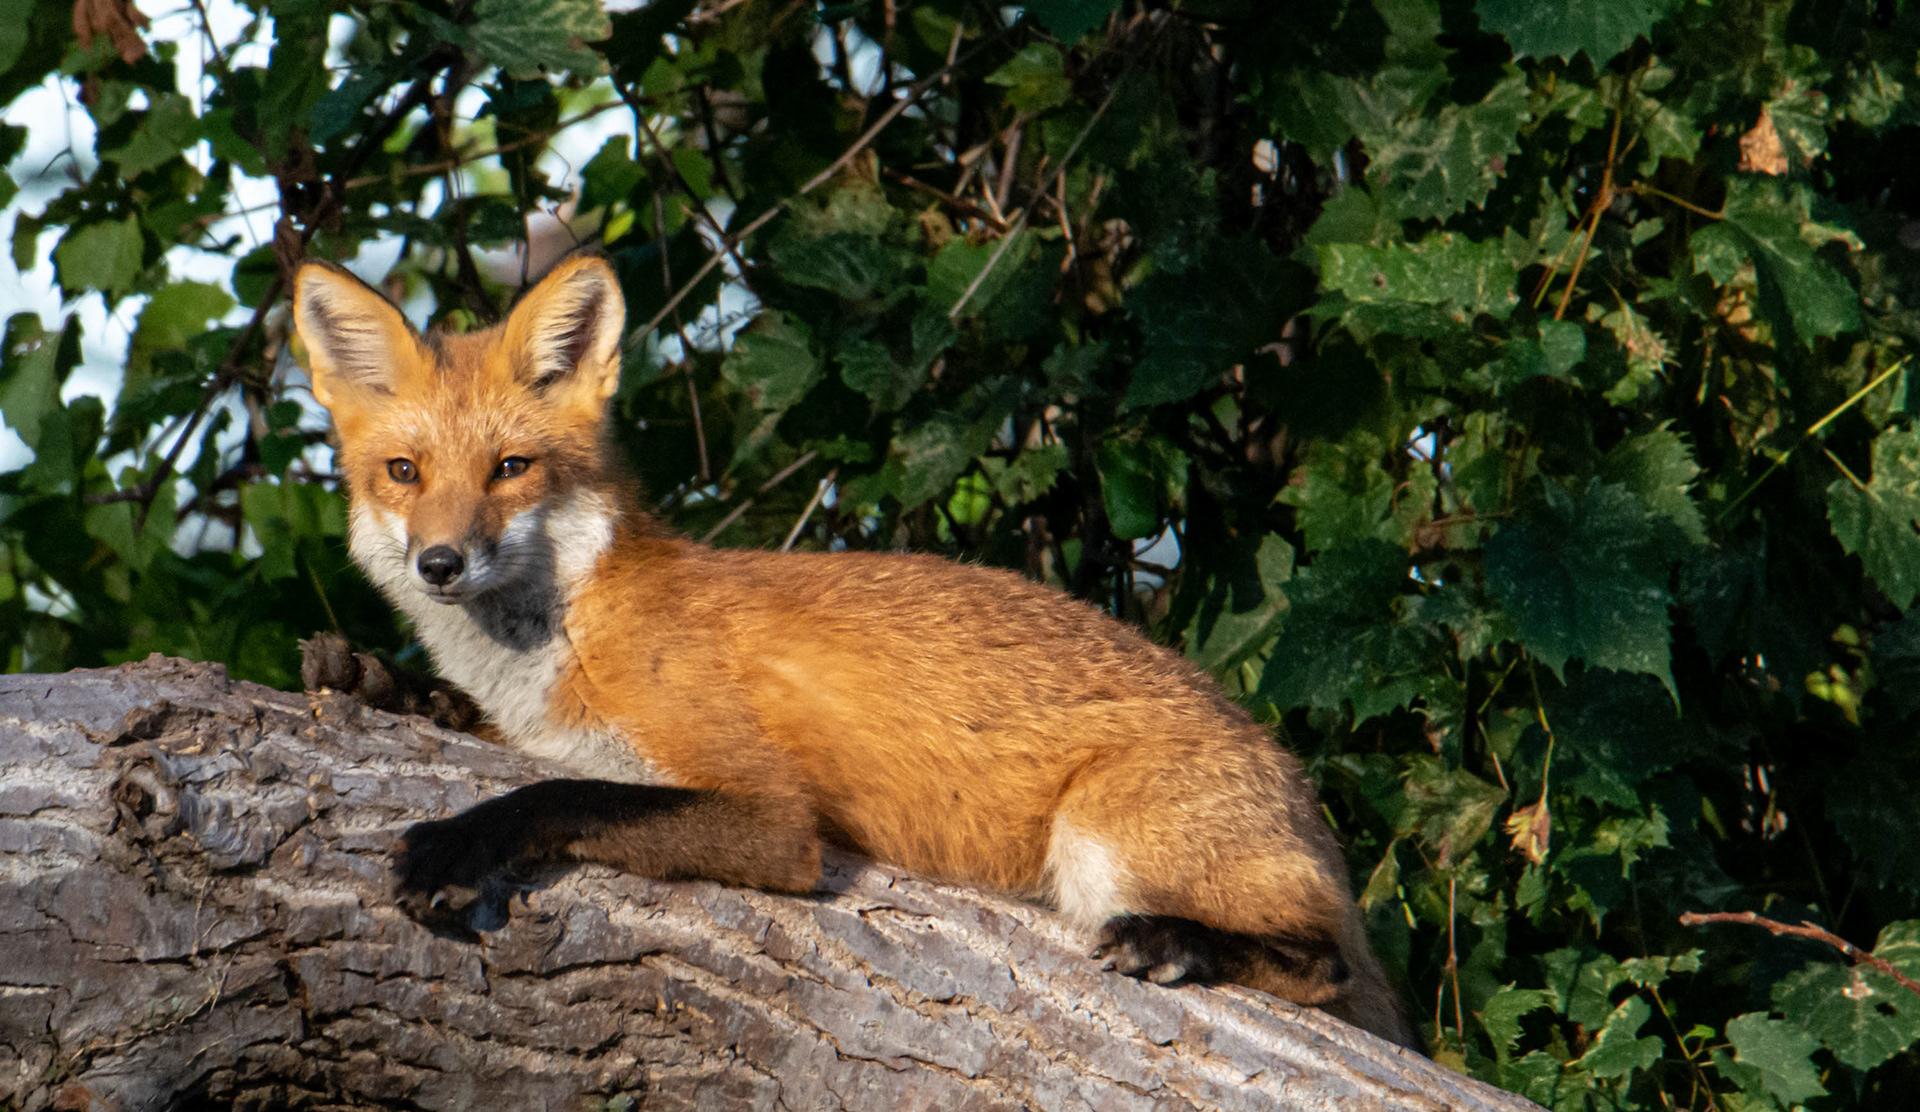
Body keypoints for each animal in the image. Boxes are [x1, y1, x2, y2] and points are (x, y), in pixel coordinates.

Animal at [290, 252, 1419, 1051]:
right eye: (403, 471)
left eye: (511, 468)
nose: (441, 562)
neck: (564, 632)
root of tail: (1299, 790)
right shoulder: (541, 727)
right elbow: (492, 737)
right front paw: (376, 680)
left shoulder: (771, 816)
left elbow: (567, 796)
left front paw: (460, 840)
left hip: (1102, 843)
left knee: (1321, 965)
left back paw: (1181, 943)